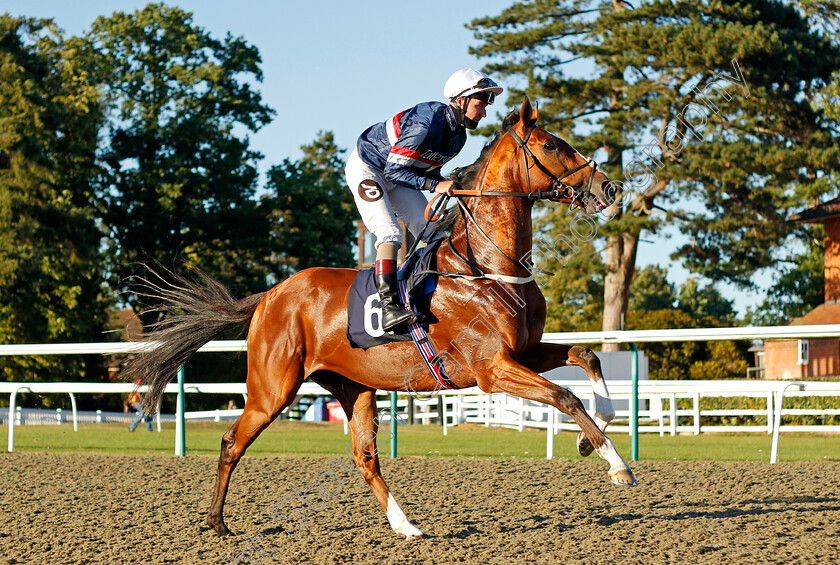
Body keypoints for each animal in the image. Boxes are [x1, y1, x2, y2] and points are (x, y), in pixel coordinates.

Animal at [123, 99, 636, 540]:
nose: (610, 188)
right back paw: (216, 522)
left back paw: (406, 525)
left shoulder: (524, 352)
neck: (489, 264)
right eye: (551, 145)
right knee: (233, 441)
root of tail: (270, 295)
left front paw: (593, 437)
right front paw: (617, 464)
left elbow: (587, 357)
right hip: (273, 388)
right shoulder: (492, 369)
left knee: (365, 457)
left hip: (354, 387)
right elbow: (565, 396)